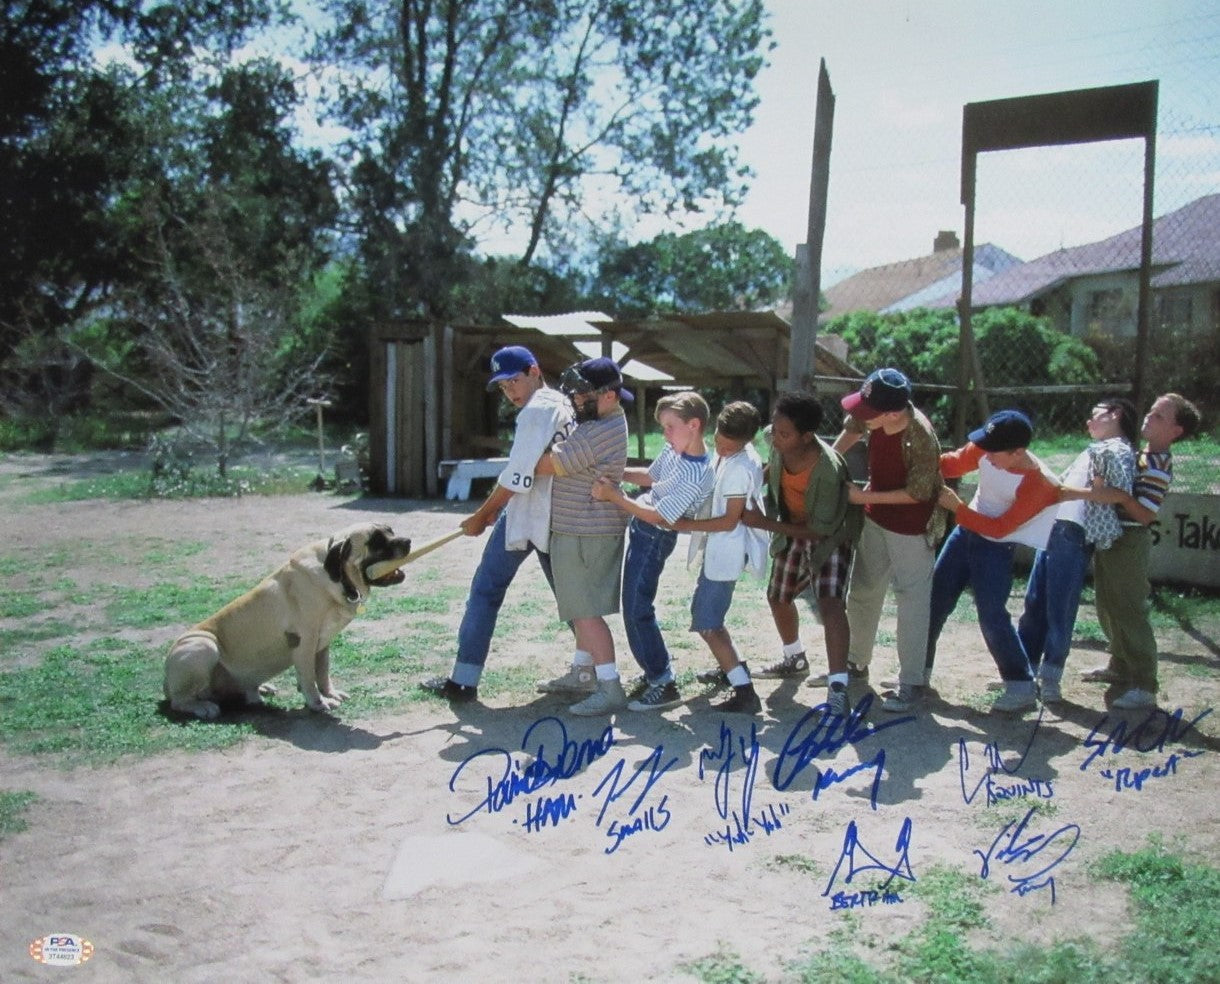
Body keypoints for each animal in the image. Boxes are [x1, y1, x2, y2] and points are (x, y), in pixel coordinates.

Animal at [164, 524, 412, 721]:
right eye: (376, 540)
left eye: (390, 531)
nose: (408, 540)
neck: (339, 579)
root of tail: (165, 681)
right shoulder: (306, 641)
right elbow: (309, 676)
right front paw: (318, 702)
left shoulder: (323, 644)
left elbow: (322, 672)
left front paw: (329, 693)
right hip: (204, 645)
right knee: (180, 700)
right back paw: (203, 707)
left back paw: (260, 688)